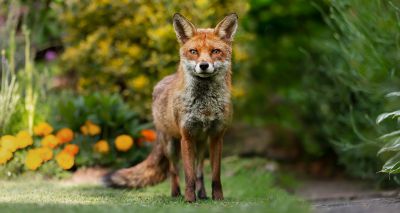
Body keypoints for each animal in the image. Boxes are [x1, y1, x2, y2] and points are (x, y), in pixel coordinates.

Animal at [106, 12, 238, 202]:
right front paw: (189, 199)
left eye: (215, 51)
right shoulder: (187, 136)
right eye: (193, 52)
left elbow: (214, 175)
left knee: (199, 172)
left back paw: (203, 194)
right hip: (171, 145)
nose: (203, 65)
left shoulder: (216, 137)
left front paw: (217, 198)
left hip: (201, 144)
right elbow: (188, 176)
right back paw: (176, 194)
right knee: (173, 170)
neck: (204, 107)